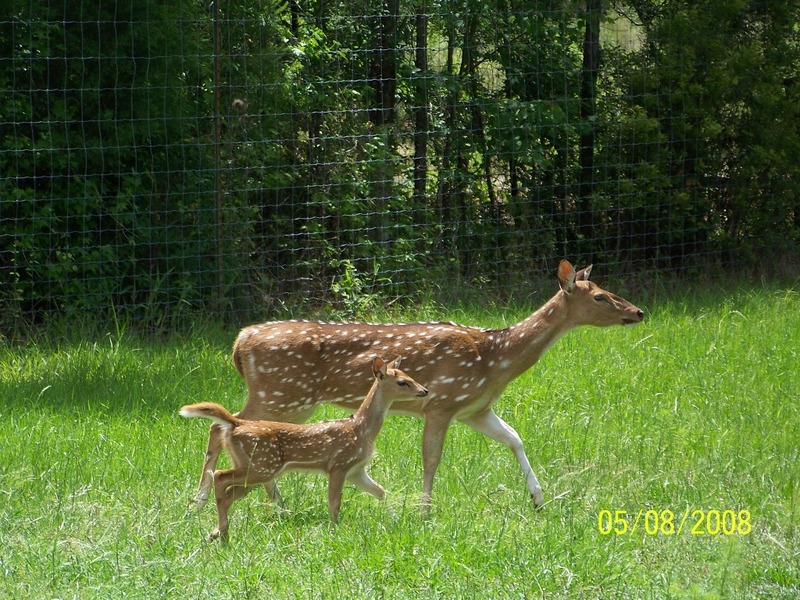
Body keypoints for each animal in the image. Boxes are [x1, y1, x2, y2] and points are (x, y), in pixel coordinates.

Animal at [180, 356, 428, 540]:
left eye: (411, 376)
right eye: (402, 382)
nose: (424, 390)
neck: (361, 429)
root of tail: (235, 424)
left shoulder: (356, 470)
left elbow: (380, 491)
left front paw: (395, 521)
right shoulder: (338, 464)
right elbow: (334, 503)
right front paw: (334, 531)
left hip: (253, 467)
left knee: (228, 490)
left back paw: (217, 532)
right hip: (262, 465)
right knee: (220, 476)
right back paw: (220, 530)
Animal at [192, 258, 644, 510]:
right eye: (599, 296)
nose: (638, 312)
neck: (495, 359)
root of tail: (240, 342)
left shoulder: (475, 408)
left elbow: (515, 438)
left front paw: (538, 498)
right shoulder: (442, 402)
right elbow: (432, 459)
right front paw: (425, 511)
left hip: (286, 397)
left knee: (226, 426)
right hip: (283, 392)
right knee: (223, 425)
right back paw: (211, 501)